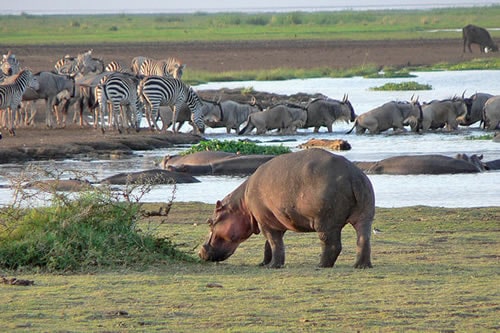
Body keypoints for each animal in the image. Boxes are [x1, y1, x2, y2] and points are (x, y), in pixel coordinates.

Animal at [199, 148, 376, 268]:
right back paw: (361, 265)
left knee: (332, 244)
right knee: (363, 239)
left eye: (210, 222)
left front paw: (272, 266)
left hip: (326, 222)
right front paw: (263, 264)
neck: (241, 205)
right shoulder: (271, 220)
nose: (200, 251)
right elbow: (269, 245)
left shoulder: (265, 222)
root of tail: (353, 174)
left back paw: (321, 265)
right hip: (365, 215)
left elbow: (275, 243)